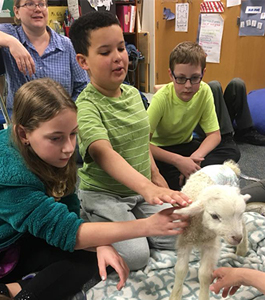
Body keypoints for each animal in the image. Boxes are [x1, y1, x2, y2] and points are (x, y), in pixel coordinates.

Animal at [169, 161, 250, 300]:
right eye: (214, 216)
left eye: (239, 214)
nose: (237, 238)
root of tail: (228, 165)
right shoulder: (185, 239)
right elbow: (180, 269)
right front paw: (175, 295)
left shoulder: (211, 245)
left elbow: (204, 274)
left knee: (243, 225)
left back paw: (242, 250)